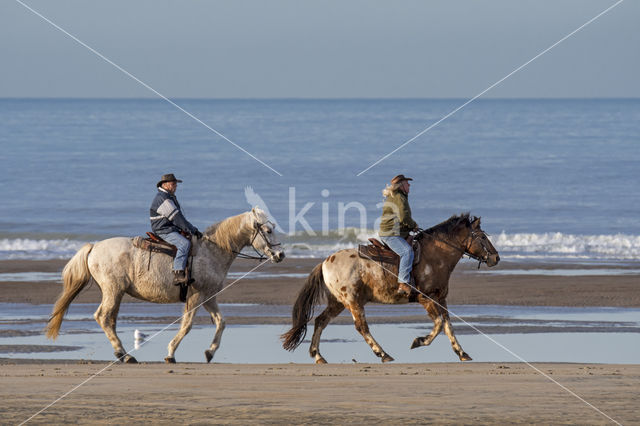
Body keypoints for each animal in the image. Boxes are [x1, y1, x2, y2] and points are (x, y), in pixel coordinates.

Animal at [46, 206, 284, 362]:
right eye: (268, 230)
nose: (281, 254)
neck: (211, 251)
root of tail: (94, 247)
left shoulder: (208, 297)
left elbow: (221, 322)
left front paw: (210, 352)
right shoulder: (195, 297)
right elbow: (187, 325)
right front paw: (170, 353)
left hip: (117, 293)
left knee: (109, 320)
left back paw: (122, 353)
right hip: (112, 291)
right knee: (103, 317)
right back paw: (125, 355)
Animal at [284, 213, 500, 362]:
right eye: (482, 237)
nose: (496, 257)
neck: (435, 256)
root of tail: (325, 262)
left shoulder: (440, 298)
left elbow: (448, 325)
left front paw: (462, 352)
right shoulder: (425, 298)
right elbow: (439, 324)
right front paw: (419, 341)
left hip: (337, 302)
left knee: (320, 321)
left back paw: (318, 355)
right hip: (352, 302)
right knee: (361, 327)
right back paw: (383, 353)